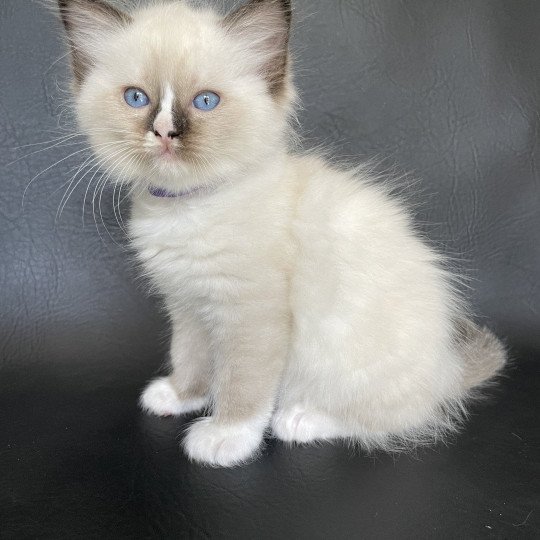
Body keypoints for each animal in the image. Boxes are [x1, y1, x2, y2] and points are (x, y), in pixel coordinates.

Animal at [59, 0, 506, 466]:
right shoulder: (188, 305)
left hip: (344, 360)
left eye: (205, 102)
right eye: (136, 98)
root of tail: (448, 367)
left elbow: (242, 384)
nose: (165, 132)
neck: (186, 209)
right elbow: (190, 358)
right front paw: (181, 396)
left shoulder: (251, 314)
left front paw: (225, 437)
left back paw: (300, 419)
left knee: (392, 419)